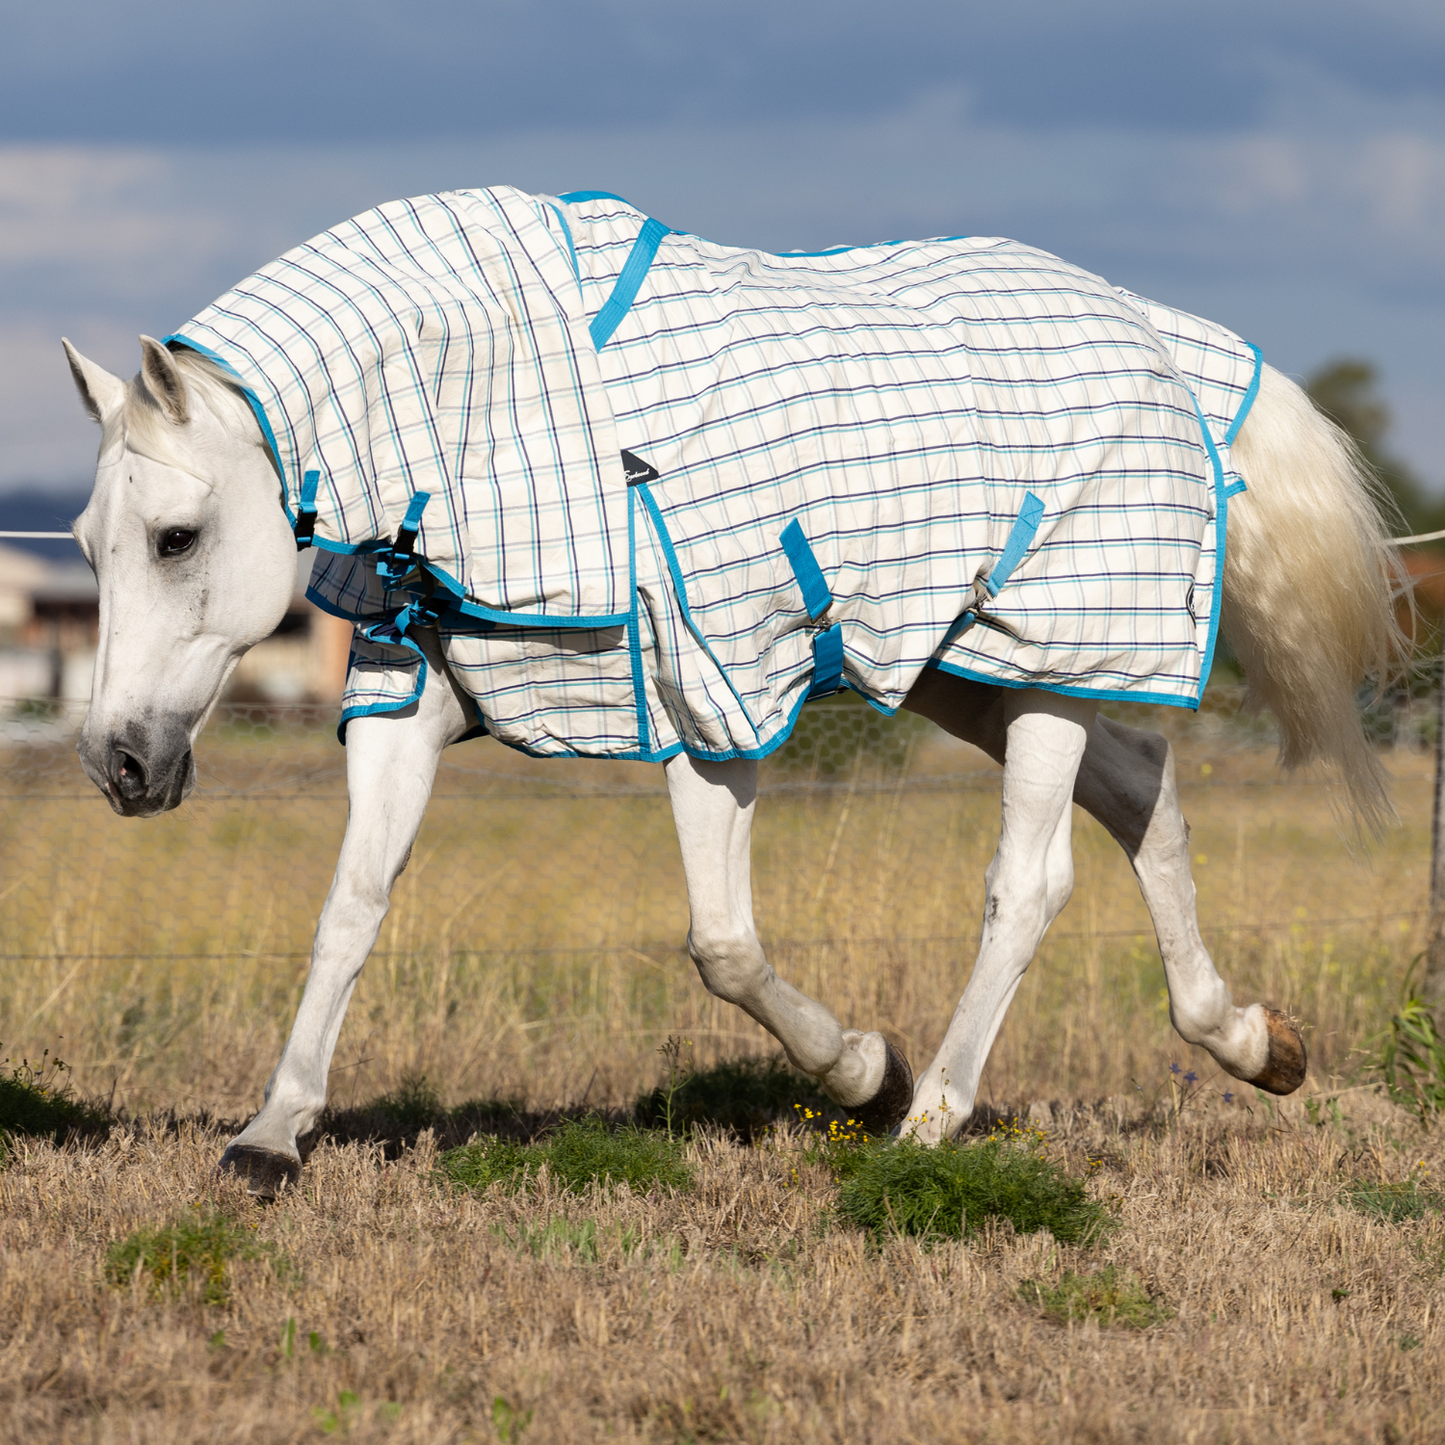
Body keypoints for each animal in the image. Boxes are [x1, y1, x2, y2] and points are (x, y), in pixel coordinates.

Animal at [65, 296, 1398, 1196]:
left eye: (177, 537)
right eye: (86, 542)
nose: (119, 765)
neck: (486, 414)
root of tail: (1159, 340)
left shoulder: (717, 703)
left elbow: (722, 944)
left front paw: (866, 1072)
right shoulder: (416, 697)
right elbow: (350, 908)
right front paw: (270, 1135)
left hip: (1041, 670)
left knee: (1031, 880)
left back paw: (931, 1118)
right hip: (972, 673)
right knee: (1140, 793)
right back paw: (1250, 1041)